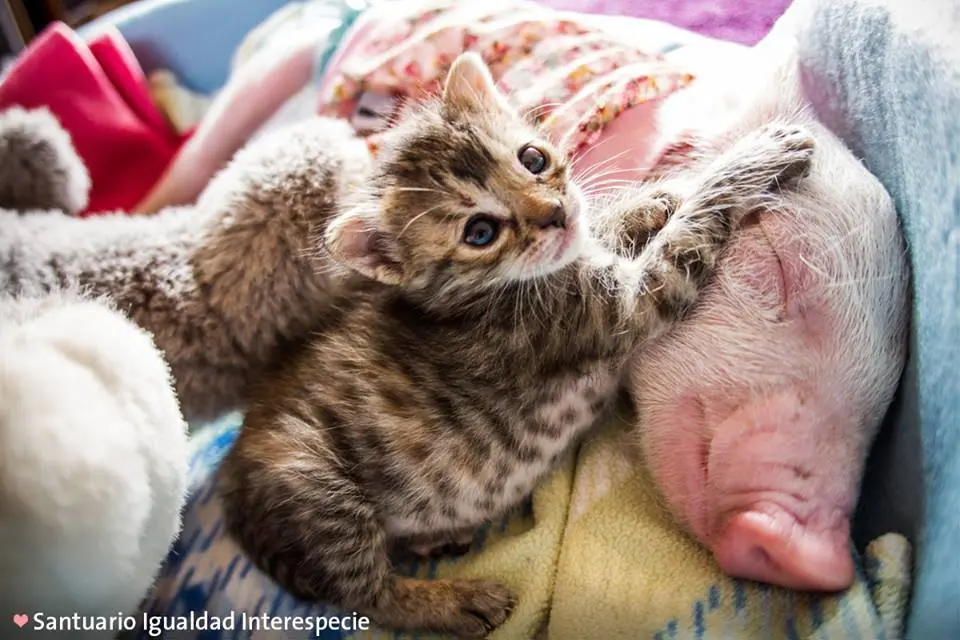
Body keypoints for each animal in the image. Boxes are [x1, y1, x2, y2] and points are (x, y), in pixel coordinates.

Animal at [219, 52, 816, 636]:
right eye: (480, 232)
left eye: (532, 159)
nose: (555, 214)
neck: (485, 295)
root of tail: (232, 503)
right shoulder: (621, 307)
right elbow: (692, 228)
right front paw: (754, 156)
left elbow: (610, 228)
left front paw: (650, 199)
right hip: (314, 484)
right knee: (365, 595)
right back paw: (454, 602)